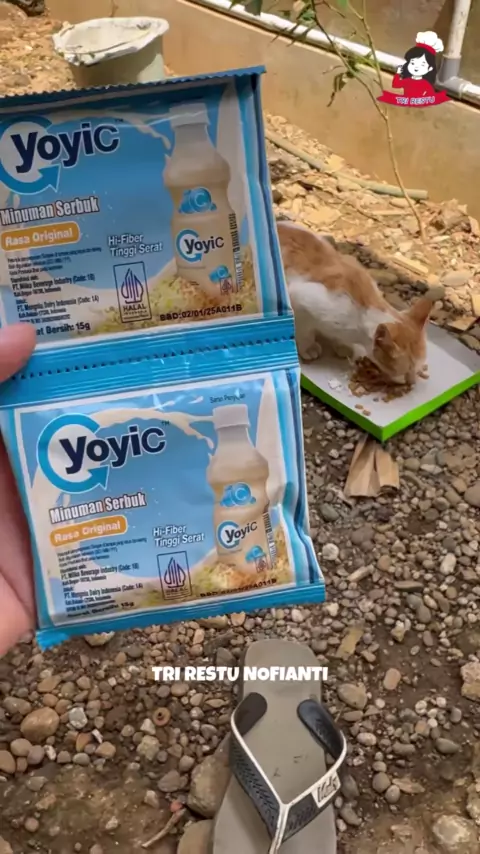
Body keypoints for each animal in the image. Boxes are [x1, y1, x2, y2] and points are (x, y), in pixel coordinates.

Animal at [277, 219, 431, 385]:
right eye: (407, 372)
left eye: (417, 369)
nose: (412, 382)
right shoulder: (300, 302)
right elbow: (305, 332)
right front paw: (308, 348)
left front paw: (342, 346)